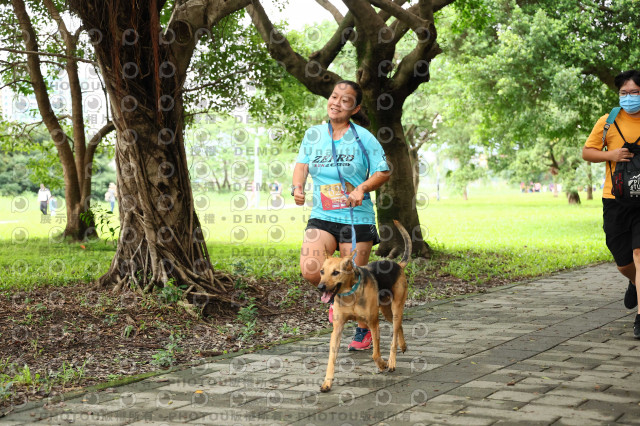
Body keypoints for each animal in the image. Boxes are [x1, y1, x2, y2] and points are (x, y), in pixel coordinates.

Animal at [316, 220, 410, 392]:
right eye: (321, 271)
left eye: (335, 273)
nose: (320, 287)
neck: (349, 294)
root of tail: (398, 265)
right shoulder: (337, 328)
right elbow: (331, 358)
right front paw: (327, 382)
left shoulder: (373, 323)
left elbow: (375, 354)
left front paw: (382, 364)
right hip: (386, 311)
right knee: (399, 325)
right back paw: (403, 345)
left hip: (395, 308)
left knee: (394, 335)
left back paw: (392, 361)